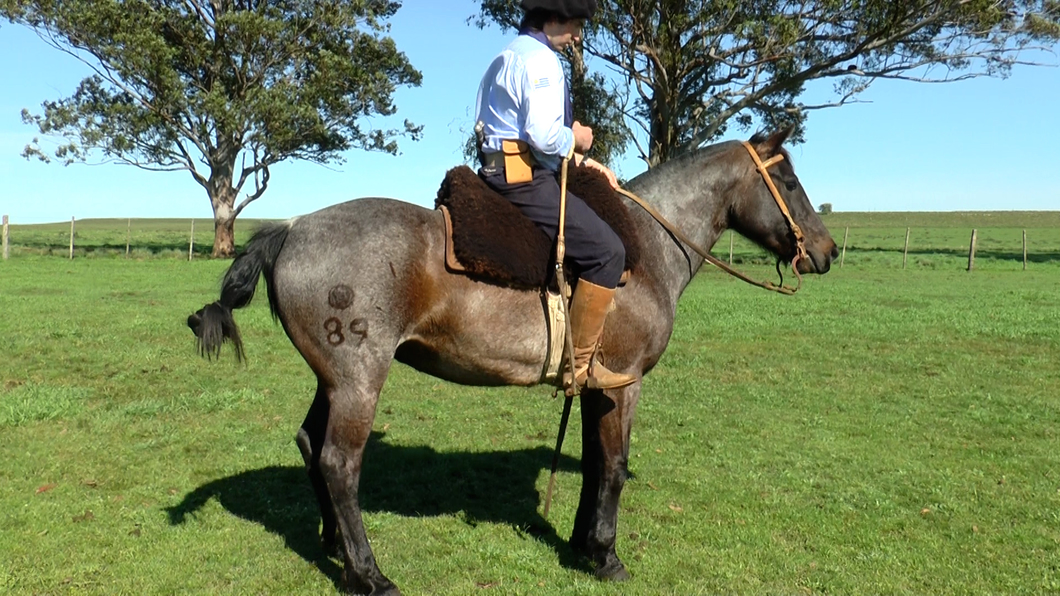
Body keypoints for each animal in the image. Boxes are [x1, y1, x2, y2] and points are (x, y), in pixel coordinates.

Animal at [188, 127, 835, 589]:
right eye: (790, 181)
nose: (826, 252)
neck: (648, 247)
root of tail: (292, 228)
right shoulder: (622, 384)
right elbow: (615, 467)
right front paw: (608, 557)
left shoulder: (593, 388)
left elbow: (596, 466)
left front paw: (582, 545)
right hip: (358, 382)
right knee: (339, 463)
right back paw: (370, 574)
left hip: (333, 380)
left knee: (309, 444)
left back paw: (336, 549)